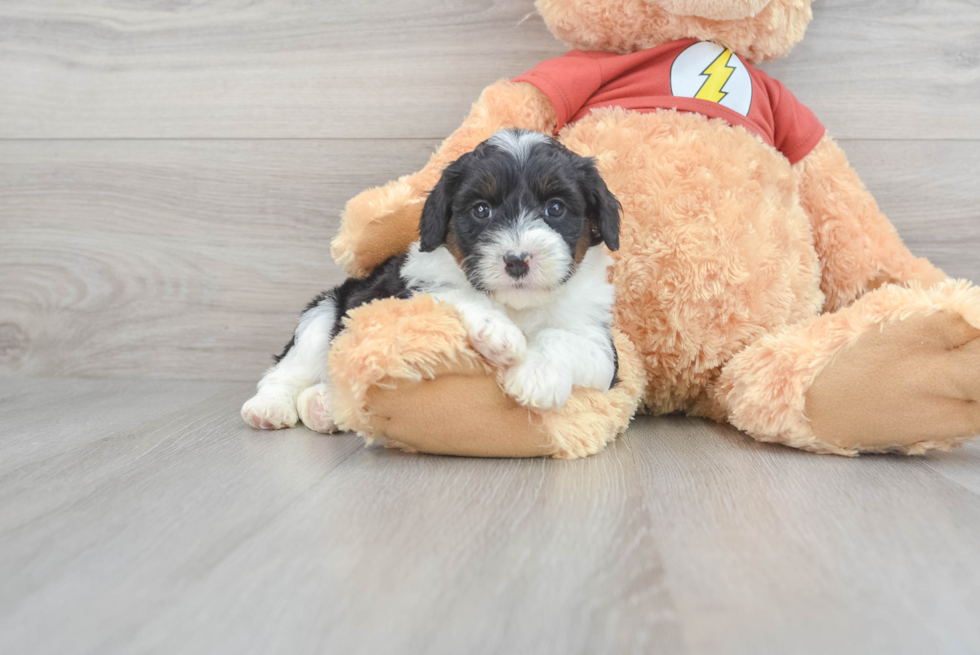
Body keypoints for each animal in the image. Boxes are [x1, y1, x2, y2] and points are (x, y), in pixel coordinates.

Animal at [243, 129, 620, 436]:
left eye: (555, 208)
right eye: (481, 210)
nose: (516, 260)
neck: (518, 305)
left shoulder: (603, 352)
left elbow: (561, 338)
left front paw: (537, 374)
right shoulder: (413, 290)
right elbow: (458, 292)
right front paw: (498, 332)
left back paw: (322, 406)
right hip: (325, 310)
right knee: (286, 369)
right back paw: (269, 407)